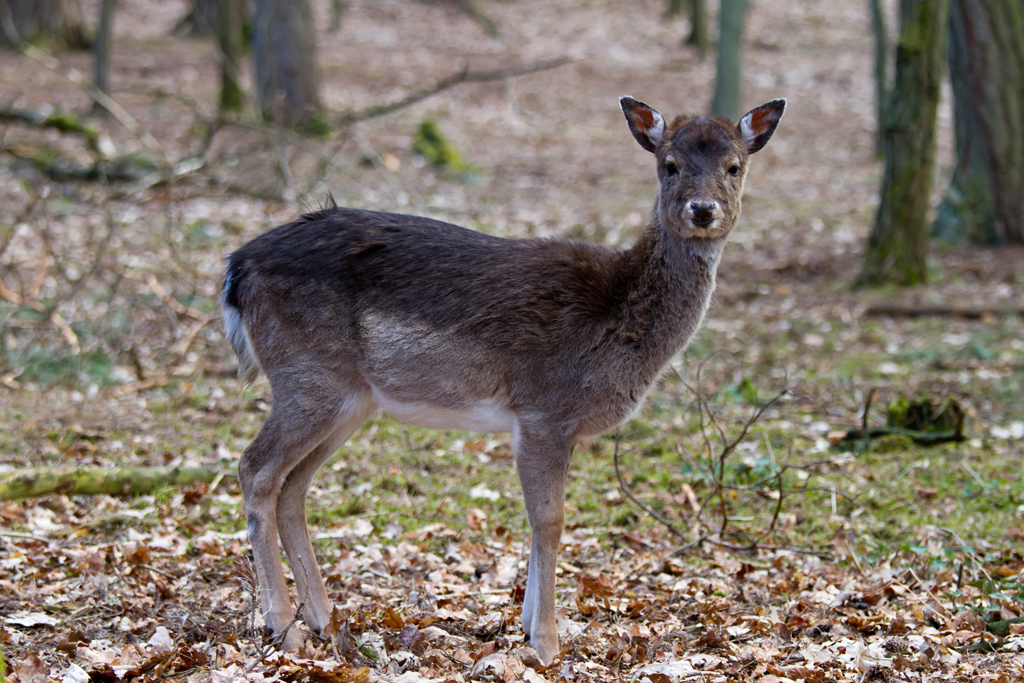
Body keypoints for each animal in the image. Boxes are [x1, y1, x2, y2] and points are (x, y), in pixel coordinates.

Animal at [222, 94, 782, 663]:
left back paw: (322, 621)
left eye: (734, 167)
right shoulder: (544, 410)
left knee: (293, 486)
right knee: (255, 468)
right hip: (308, 376)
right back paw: (283, 628)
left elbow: (542, 521)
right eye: (669, 165)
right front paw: (548, 645)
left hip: (348, 400)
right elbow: (550, 520)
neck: (618, 321)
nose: (703, 210)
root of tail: (236, 270)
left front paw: (529, 628)